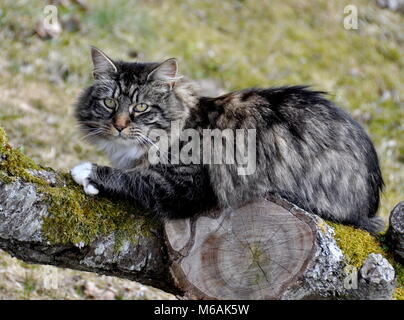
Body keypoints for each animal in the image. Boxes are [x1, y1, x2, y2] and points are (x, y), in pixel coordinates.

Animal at [71, 46, 384, 234]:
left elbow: (133, 178)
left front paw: (88, 172)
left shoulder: (186, 186)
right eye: (110, 103)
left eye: (141, 107)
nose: (119, 125)